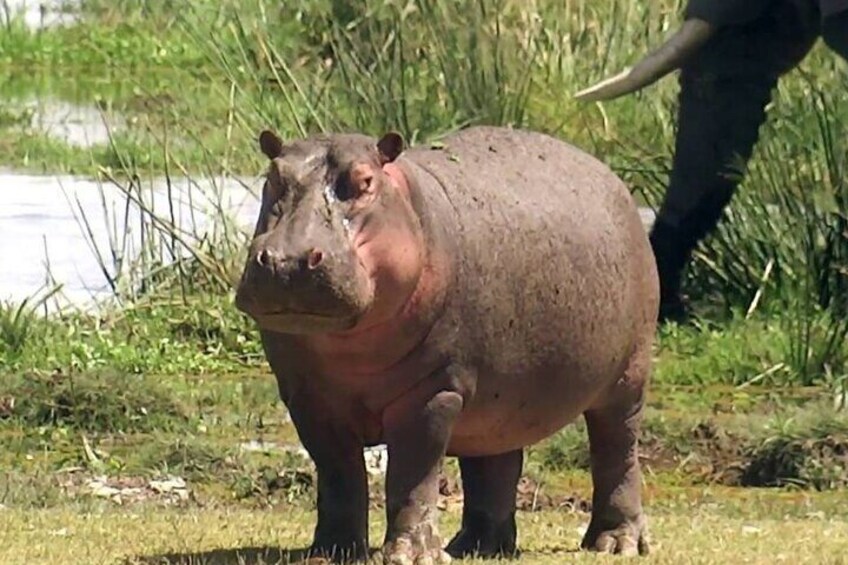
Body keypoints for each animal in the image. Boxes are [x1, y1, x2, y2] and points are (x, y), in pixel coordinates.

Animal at [234, 125, 659, 563]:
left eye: (365, 181)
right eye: (273, 177)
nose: (287, 261)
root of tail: (609, 175)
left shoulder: (431, 392)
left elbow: (412, 476)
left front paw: (409, 555)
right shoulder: (309, 399)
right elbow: (338, 476)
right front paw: (329, 553)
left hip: (628, 376)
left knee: (617, 449)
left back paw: (616, 543)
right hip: (498, 401)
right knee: (494, 463)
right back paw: (478, 547)